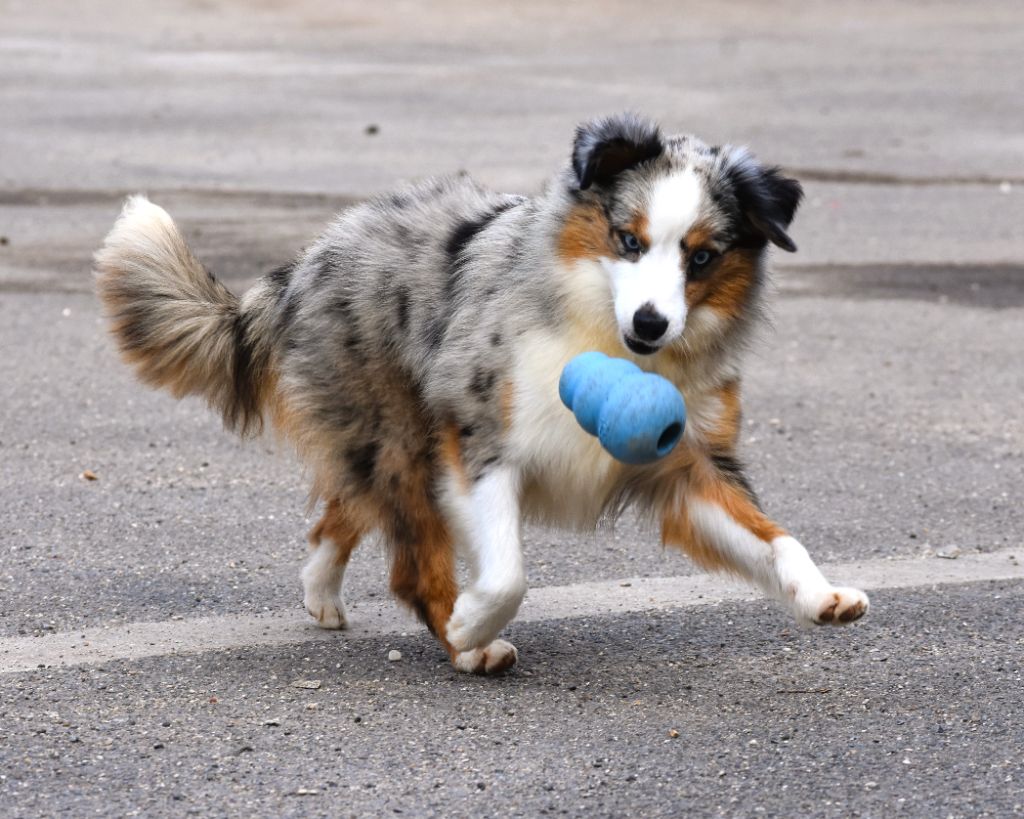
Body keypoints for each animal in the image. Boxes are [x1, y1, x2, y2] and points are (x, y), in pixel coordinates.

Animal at [94, 113, 869, 674]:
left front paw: (821, 594)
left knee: (343, 510)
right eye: (628, 240)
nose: (651, 323)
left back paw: (321, 591)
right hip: (400, 434)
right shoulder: (479, 436)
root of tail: (308, 261)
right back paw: (463, 643)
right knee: (408, 562)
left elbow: (774, 536)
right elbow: (506, 572)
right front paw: (471, 623)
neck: (605, 337)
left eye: (701, 257)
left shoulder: (690, 461)